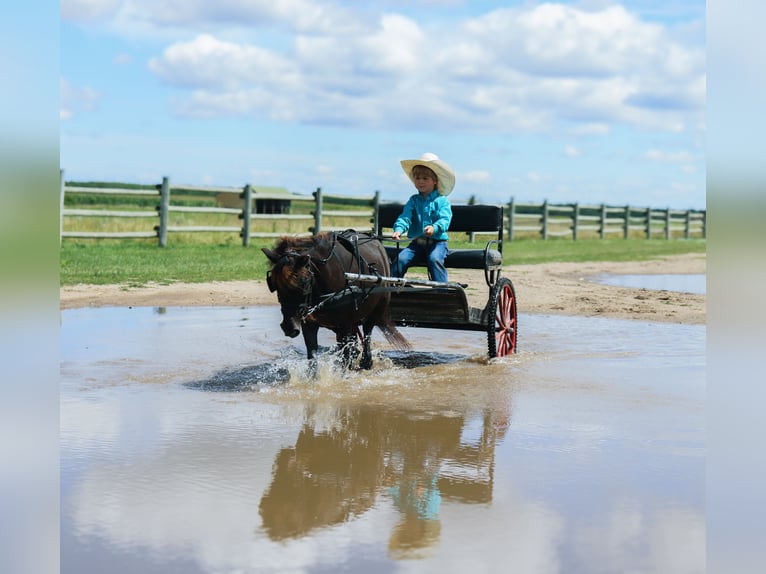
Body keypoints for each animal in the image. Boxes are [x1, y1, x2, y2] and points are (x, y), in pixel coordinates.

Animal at [262, 232, 412, 372]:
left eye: (304, 283)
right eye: (274, 285)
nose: (289, 326)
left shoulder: (344, 324)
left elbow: (345, 356)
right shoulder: (309, 323)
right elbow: (312, 356)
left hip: (377, 308)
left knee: (367, 334)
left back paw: (366, 362)